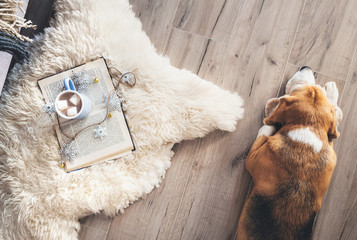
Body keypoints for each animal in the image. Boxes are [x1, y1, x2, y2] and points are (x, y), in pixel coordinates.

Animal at [236, 67, 342, 240]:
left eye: (299, 87)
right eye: (315, 88)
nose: (306, 67)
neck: (309, 127)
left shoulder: (251, 159)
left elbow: (264, 132)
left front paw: (270, 123)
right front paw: (331, 93)